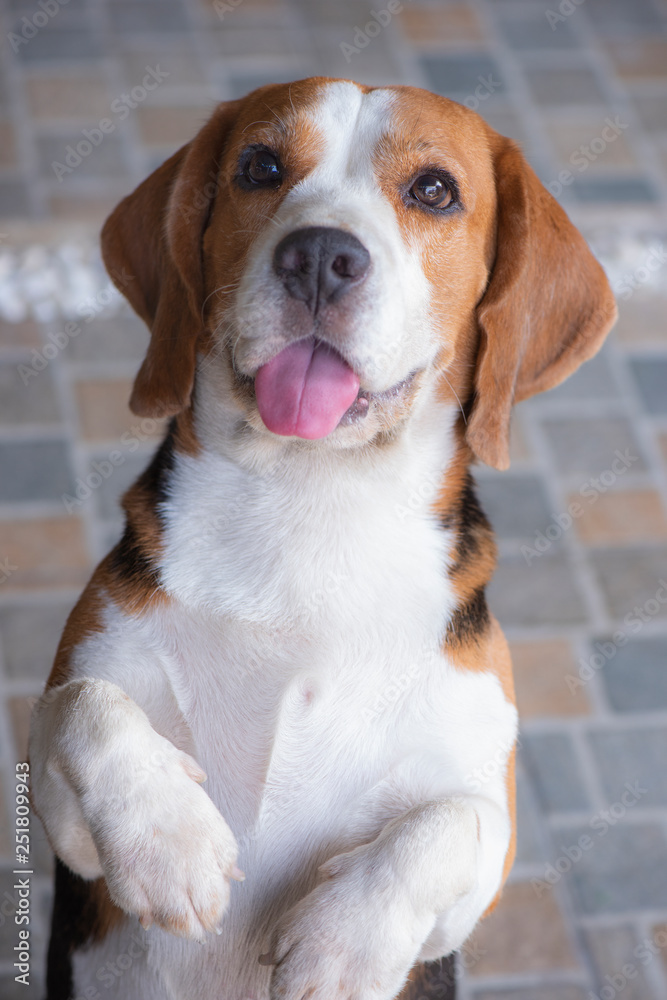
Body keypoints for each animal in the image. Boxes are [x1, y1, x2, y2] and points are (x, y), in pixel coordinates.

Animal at [30, 80, 616, 1000]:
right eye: (259, 168)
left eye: (433, 191)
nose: (317, 256)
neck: (314, 503)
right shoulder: (64, 828)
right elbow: (82, 705)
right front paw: (171, 845)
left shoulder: (487, 848)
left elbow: (452, 823)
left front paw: (343, 947)